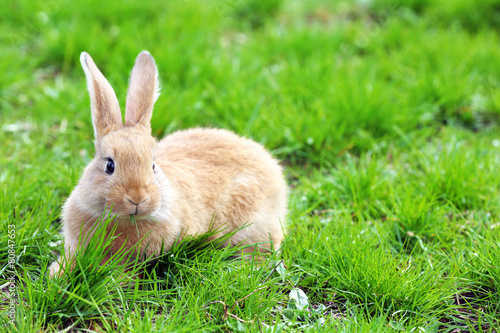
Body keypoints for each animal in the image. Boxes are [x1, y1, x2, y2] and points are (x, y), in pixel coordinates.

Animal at [49, 50, 290, 276]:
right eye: (110, 165)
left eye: (153, 165)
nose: (138, 198)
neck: (125, 220)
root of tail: (274, 171)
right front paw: (56, 275)